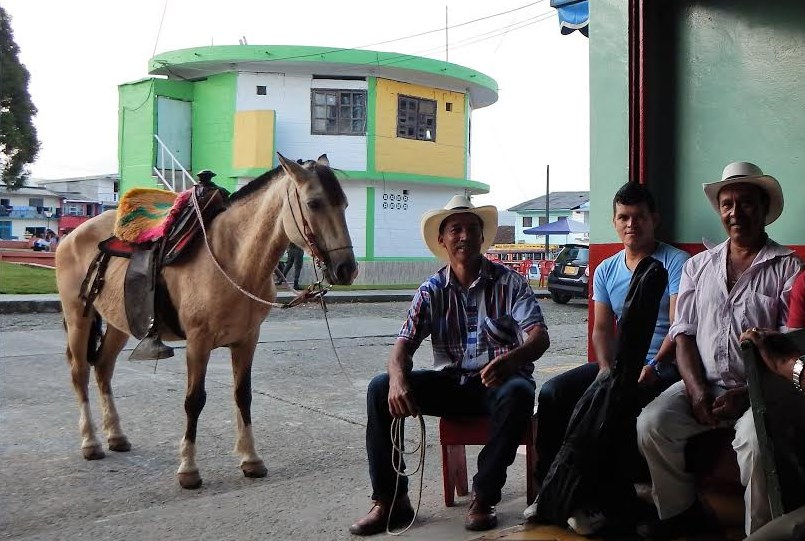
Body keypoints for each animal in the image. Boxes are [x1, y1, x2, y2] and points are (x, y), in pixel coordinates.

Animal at [55, 153, 357, 489]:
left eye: (344, 203)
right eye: (314, 203)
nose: (346, 269)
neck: (235, 259)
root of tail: (73, 236)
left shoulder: (247, 339)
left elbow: (243, 395)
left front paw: (251, 459)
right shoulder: (198, 342)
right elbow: (194, 400)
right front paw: (188, 468)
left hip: (121, 324)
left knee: (103, 368)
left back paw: (115, 435)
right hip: (78, 317)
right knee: (80, 372)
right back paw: (91, 441)